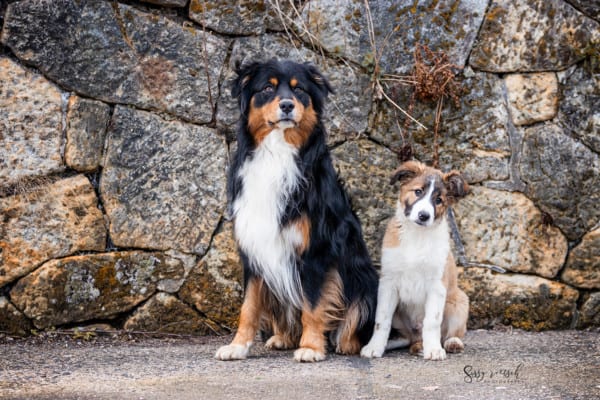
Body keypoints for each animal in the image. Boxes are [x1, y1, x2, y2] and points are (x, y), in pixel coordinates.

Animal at [214, 59, 376, 362]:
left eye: (298, 89)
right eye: (267, 88)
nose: (287, 105)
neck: (278, 152)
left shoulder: (315, 250)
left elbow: (313, 304)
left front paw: (311, 347)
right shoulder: (253, 251)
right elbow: (248, 306)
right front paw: (237, 346)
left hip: (367, 281)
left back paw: (345, 344)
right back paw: (283, 338)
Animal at [358, 161, 472, 360]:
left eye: (438, 200)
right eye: (418, 192)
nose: (424, 216)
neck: (417, 235)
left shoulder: (437, 285)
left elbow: (432, 321)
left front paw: (433, 349)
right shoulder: (388, 283)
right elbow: (381, 321)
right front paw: (374, 347)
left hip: (459, 301)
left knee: (451, 333)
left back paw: (451, 343)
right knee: (406, 337)